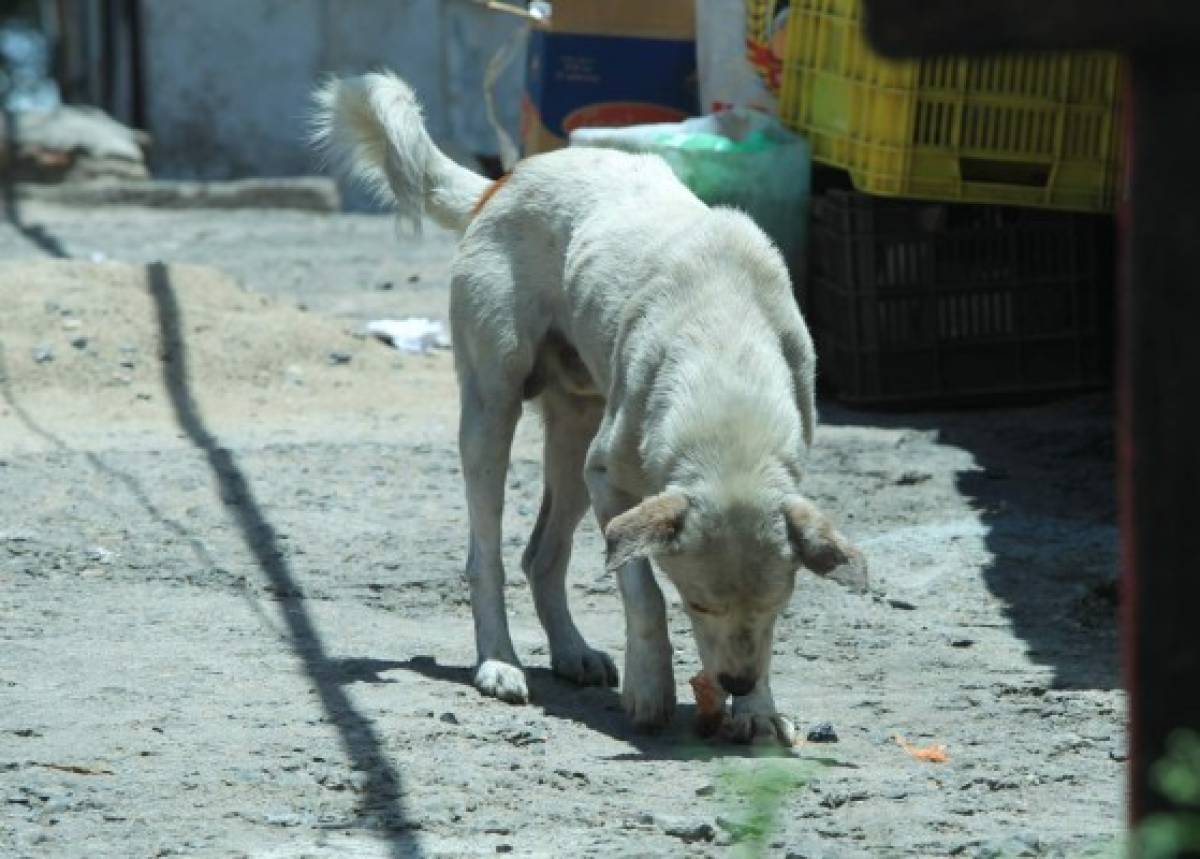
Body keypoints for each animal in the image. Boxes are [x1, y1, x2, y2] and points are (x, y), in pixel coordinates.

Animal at [314, 72, 868, 743]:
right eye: (697, 602)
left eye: (777, 604)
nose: (735, 684)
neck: (726, 355)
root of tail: (506, 179)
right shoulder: (610, 482)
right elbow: (643, 594)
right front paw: (650, 687)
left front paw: (759, 709)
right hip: (492, 414)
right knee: (485, 555)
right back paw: (498, 661)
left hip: (573, 436)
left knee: (541, 557)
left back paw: (571, 652)